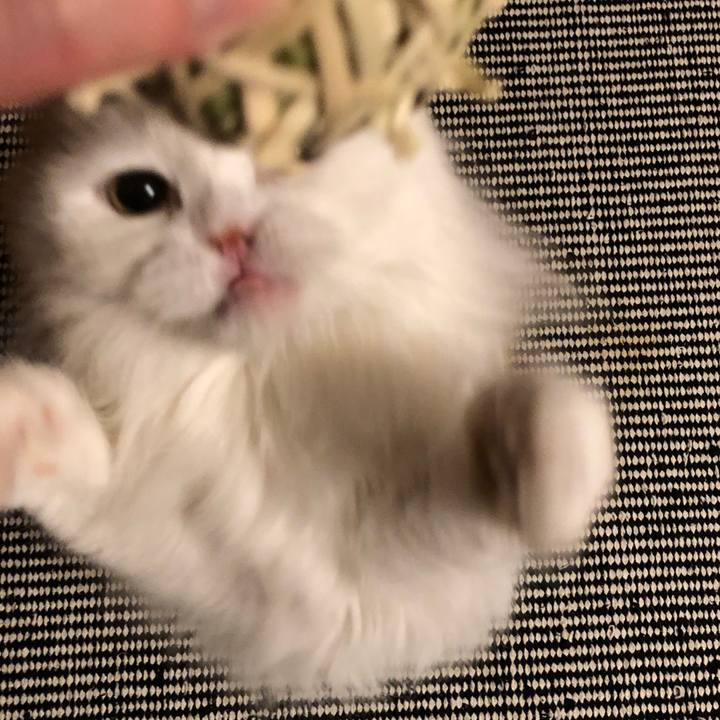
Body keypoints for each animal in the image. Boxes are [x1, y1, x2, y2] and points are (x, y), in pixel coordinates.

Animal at [0, 101, 615, 693]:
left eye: (302, 145)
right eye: (140, 195)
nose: (230, 235)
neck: (265, 397)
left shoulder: (397, 571)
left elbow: (498, 476)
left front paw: (524, 444)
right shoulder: (219, 569)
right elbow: (98, 495)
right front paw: (24, 424)